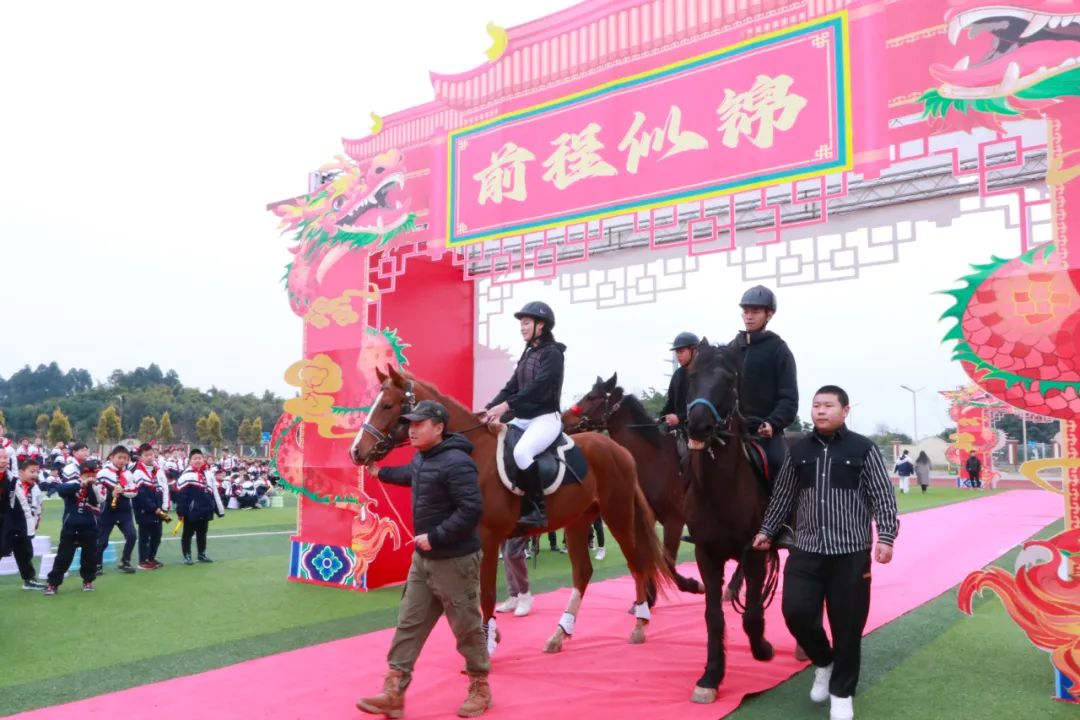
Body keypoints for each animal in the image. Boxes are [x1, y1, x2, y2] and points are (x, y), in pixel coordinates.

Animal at [349, 369, 669, 656]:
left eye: (388, 406)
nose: (356, 452)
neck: (472, 452)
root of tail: (617, 449)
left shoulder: (488, 538)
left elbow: (487, 592)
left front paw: (487, 642)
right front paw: (490, 634)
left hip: (618, 516)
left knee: (637, 563)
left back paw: (639, 624)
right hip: (578, 522)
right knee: (583, 573)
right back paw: (559, 635)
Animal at [561, 375, 704, 600]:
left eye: (591, 397)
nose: (563, 420)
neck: (655, 459)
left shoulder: (674, 520)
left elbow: (666, 563)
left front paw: (692, 584)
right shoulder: (646, 518)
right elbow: (648, 561)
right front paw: (647, 597)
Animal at [682, 343, 777, 703]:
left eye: (729, 379)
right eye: (692, 375)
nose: (698, 425)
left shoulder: (756, 552)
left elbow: (751, 613)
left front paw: (762, 648)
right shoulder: (706, 555)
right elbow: (713, 616)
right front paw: (711, 676)